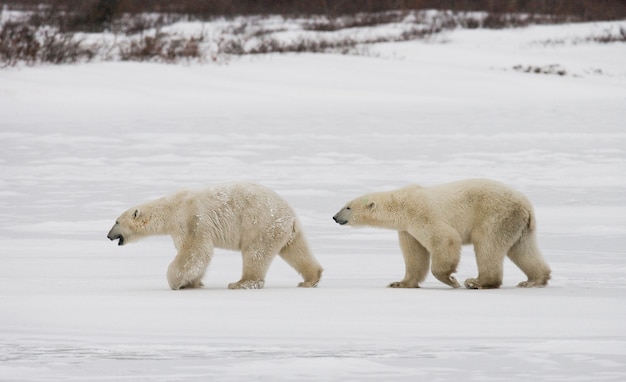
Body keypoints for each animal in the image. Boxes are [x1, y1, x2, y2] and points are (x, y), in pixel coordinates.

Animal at [106, 182, 322, 290]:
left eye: (116, 222)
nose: (108, 236)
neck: (170, 209)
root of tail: (291, 216)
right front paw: (193, 283)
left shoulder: (192, 220)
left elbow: (195, 252)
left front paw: (176, 283)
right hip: (286, 231)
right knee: (296, 250)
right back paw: (310, 279)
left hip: (261, 225)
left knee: (255, 253)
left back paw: (240, 283)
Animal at [332, 179, 544, 290]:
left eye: (348, 207)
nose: (334, 217)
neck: (401, 205)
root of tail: (527, 206)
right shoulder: (407, 229)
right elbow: (415, 256)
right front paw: (399, 283)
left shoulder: (421, 213)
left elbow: (444, 238)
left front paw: (451, 280)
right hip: (518, 225)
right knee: (523, 249)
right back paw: (534, 280)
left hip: (495, 216)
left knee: (487, 245)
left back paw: (476, 282)